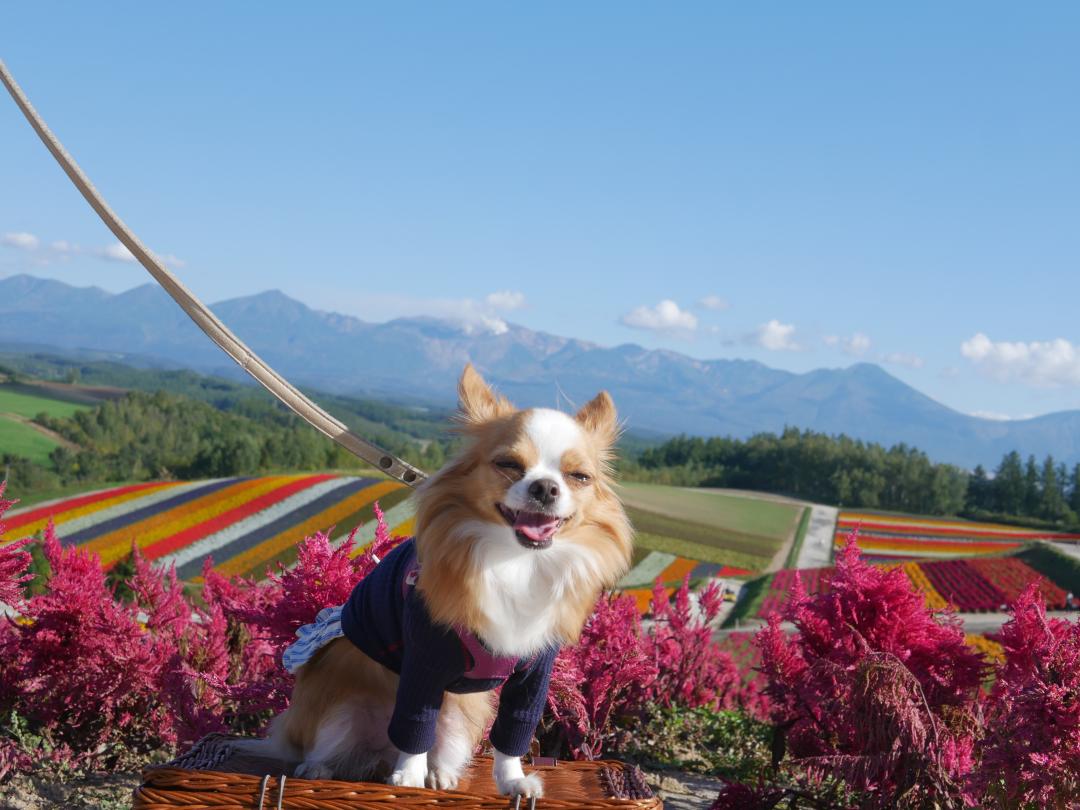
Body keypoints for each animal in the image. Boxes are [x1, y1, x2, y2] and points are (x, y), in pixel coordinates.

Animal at [245, 367, 630, 799]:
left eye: (579, 477)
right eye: (509, 464)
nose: (545, 487)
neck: (516, 562)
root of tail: (379, 752)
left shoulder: (532, 674)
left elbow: (514, 731)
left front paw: (512, 781)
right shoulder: (424, 657)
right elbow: (415, 723)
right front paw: (408, 779)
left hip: (459, 717)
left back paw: (438, 773)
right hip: (338, 704)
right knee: (344, 742)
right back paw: (323, 767)